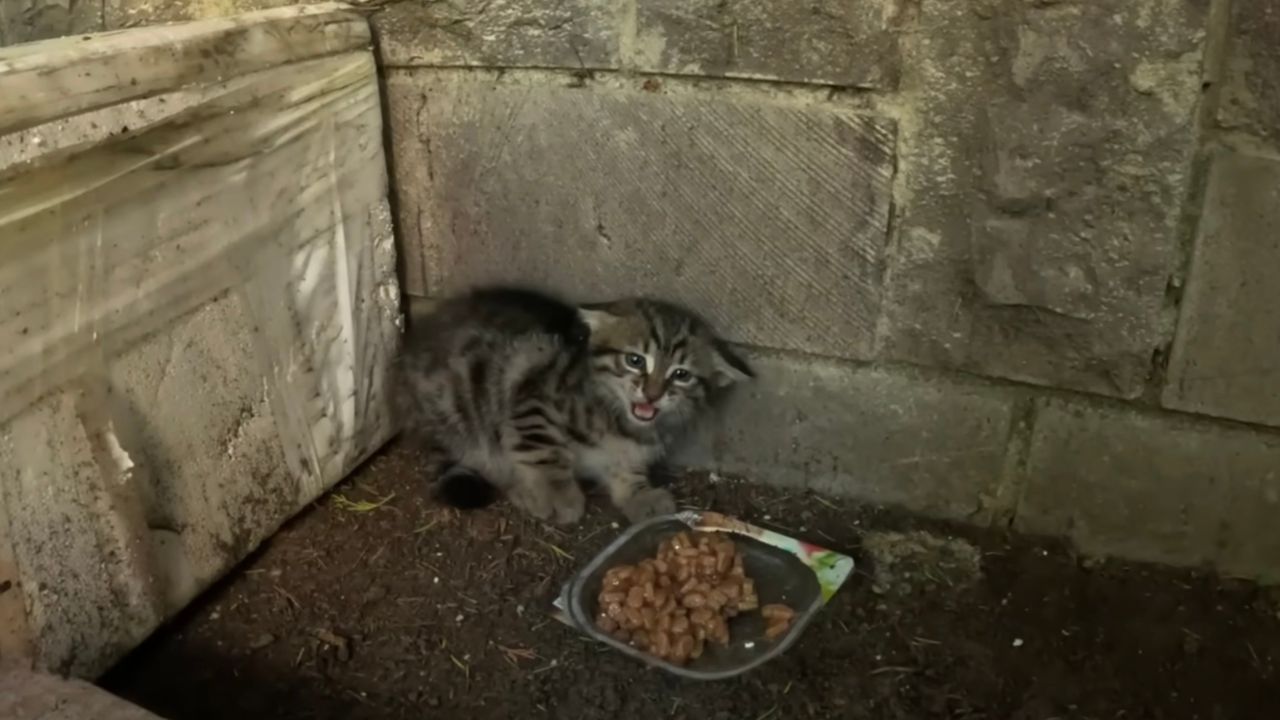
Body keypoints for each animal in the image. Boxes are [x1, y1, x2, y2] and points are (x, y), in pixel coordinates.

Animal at [396, 284, 747, 520]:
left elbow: (628, 468)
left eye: (681, 375)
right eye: (635, 361)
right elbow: (543, 451)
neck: (619, 420)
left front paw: (640, 495)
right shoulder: (534, 399)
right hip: (461, 407)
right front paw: (557, 495)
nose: (652, 393)